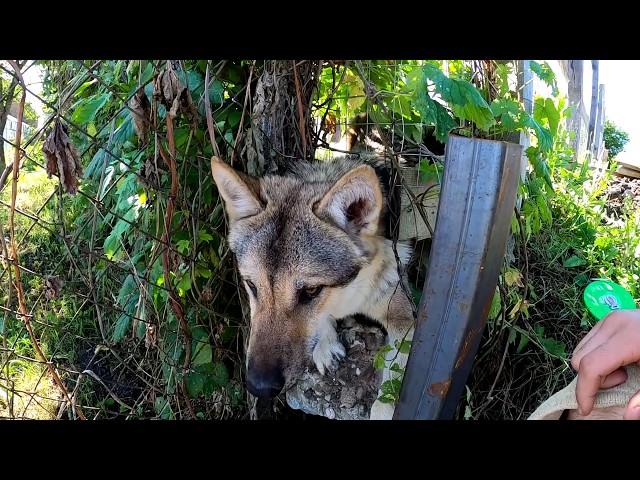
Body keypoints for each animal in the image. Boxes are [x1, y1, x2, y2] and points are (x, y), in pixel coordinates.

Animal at [210, 155, 416, 420]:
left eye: (311, 291)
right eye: (252, 285)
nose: (258, 387)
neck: (348, 297)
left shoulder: (405, 318)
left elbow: (393, 376)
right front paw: (326, 345)